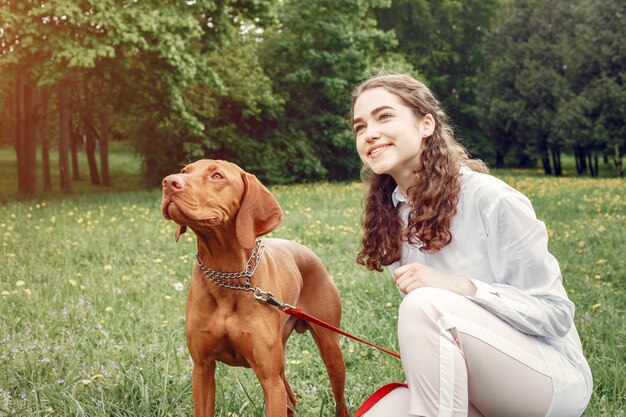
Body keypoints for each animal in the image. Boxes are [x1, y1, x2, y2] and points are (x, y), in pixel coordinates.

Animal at [158, 160, 348, 416]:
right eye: (184, 171)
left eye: (217, 176)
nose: (168, 182)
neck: (229, 276)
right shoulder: (202, 368)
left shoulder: (269, 379)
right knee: (291, 398)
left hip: (330, 348)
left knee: (340, 401)